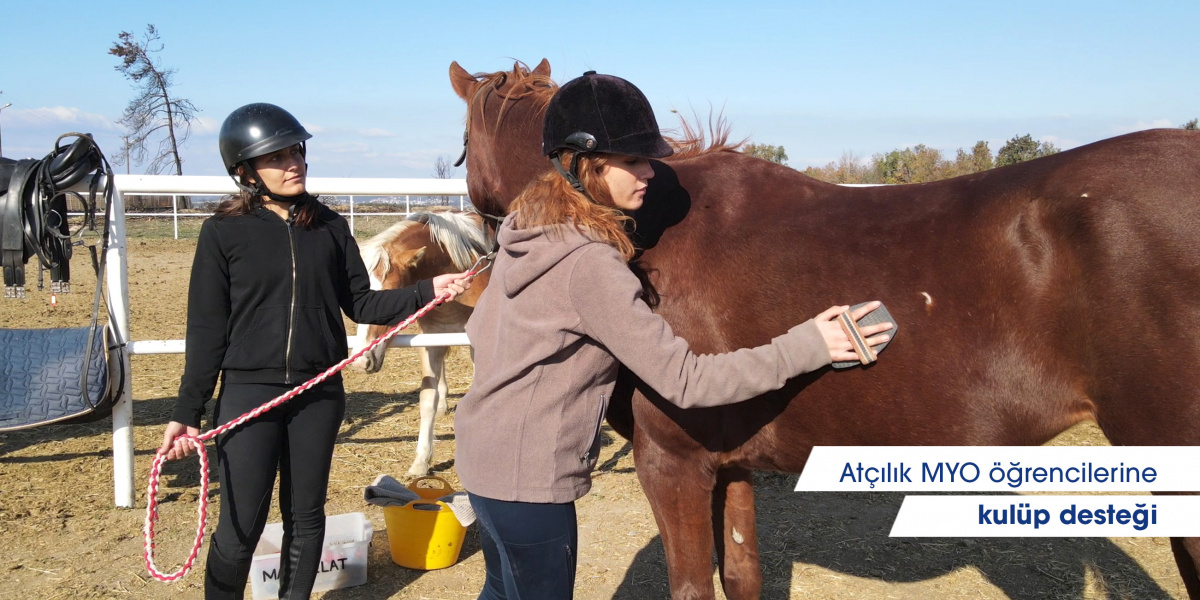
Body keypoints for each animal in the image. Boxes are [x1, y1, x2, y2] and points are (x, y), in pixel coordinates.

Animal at [448, 58, 1200, 597]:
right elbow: (743, 574)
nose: (480, 251)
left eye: (460, 145)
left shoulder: (673, 465)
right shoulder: (730, 464)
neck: (651, 234)